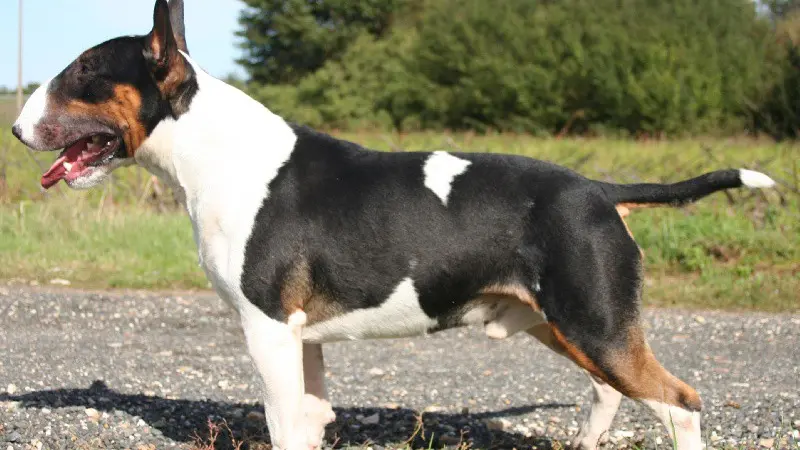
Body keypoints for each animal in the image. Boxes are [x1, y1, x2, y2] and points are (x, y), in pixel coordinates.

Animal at [10, 1, 776, 448]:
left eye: (85, 70)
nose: (16, 129)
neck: (214, 151)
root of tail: (599, 190)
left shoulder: (267, 328)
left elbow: (284, 422)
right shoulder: (301, 340)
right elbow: (309, 420)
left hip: (595, 324)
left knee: (678, 402)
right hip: (565, 325)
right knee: (608, 394)